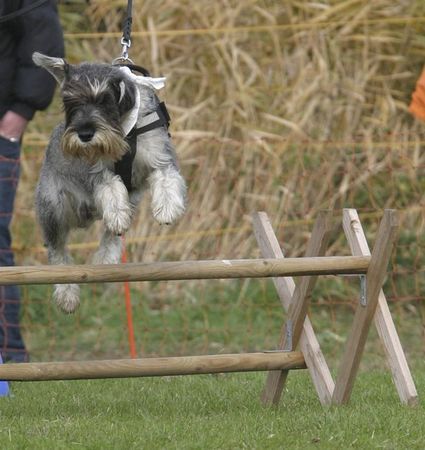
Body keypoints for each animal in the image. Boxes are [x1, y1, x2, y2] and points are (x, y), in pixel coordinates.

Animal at [33, 52, 186, 312]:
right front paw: (117, 215)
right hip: (53, 206)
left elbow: (167, 179)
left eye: (104, 100)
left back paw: (106, 257)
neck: (125, 131)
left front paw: (167, 209)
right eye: (69, 101)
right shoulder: (99, 171)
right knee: (56, 248)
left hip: (130, 199)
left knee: (111, 233)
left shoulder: (160, 158)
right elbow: (112, 191)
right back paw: (66, 293)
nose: (84, 135)